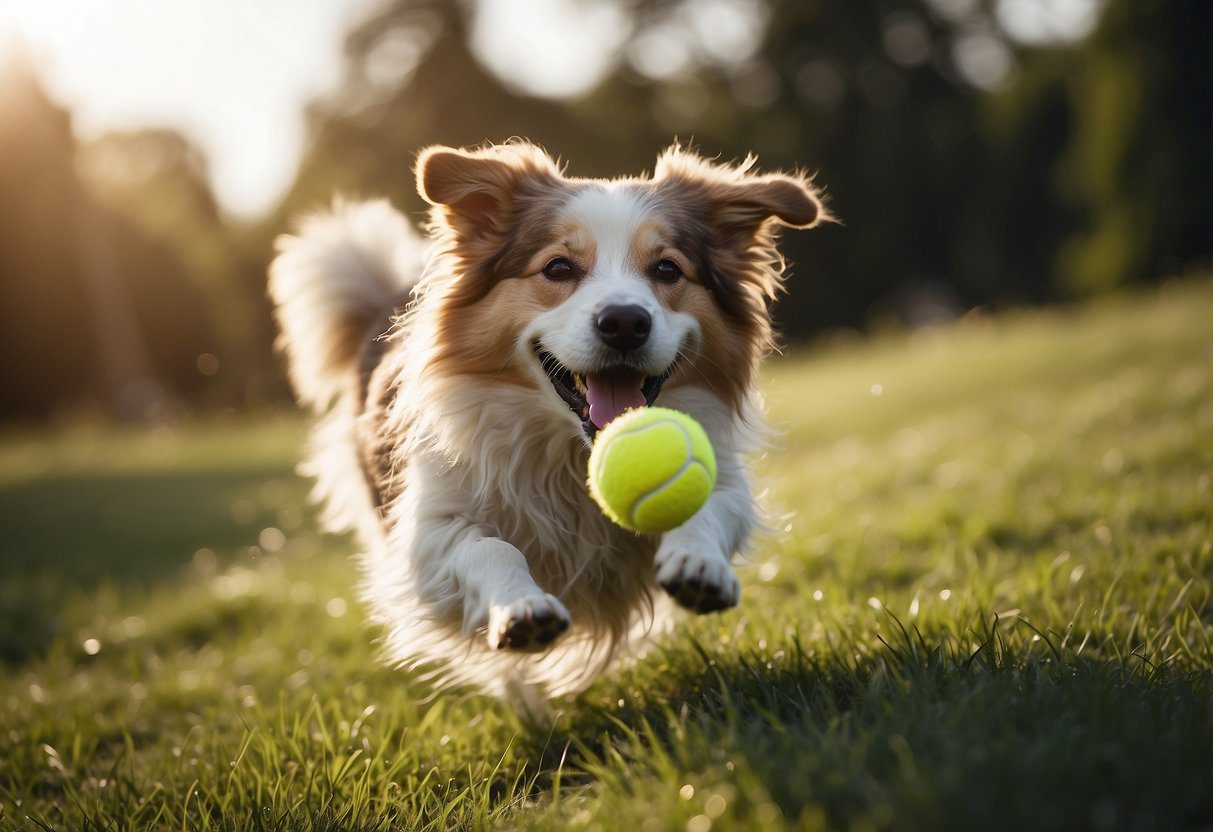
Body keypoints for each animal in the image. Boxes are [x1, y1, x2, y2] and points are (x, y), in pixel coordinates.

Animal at [269, 143, 829, 708]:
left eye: (667, 269)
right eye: (558, 267)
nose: (625, 321)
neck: (574, 455)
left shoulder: (725, 475)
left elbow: (708, 507)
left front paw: (699, 564)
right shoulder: (426, 534)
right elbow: (489, 548)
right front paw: (521, 610)